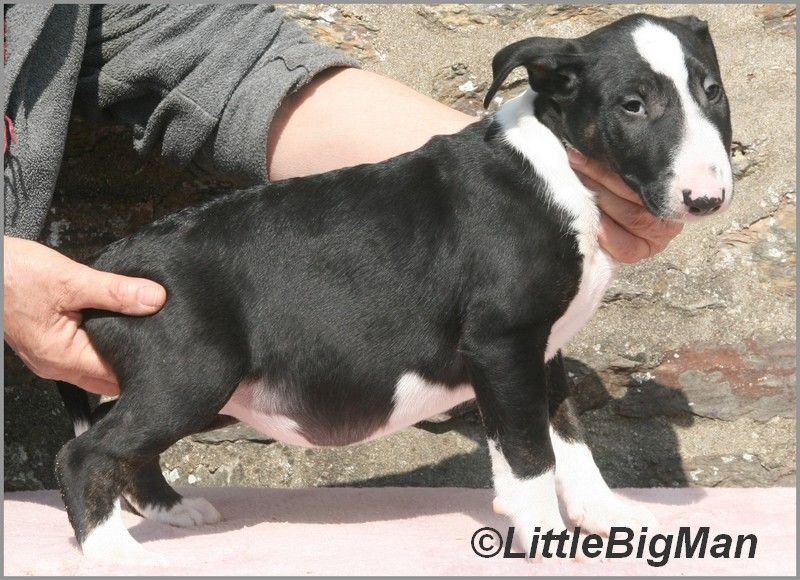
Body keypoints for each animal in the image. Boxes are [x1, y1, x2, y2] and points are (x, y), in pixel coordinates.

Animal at [56, 13, 732, 564]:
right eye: (632, 105)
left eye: (712, 91)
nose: (707, 198)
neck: (558, 170)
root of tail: (115, 257)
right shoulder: (503, 344)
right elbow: (529, 454)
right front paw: (543, 538)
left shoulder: (543, 351)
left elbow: (568, 437)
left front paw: (609, 516)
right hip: (192, 374)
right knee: (86, 452)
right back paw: (114, 552)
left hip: (203, 389)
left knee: (121, 439)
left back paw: (172, 510)